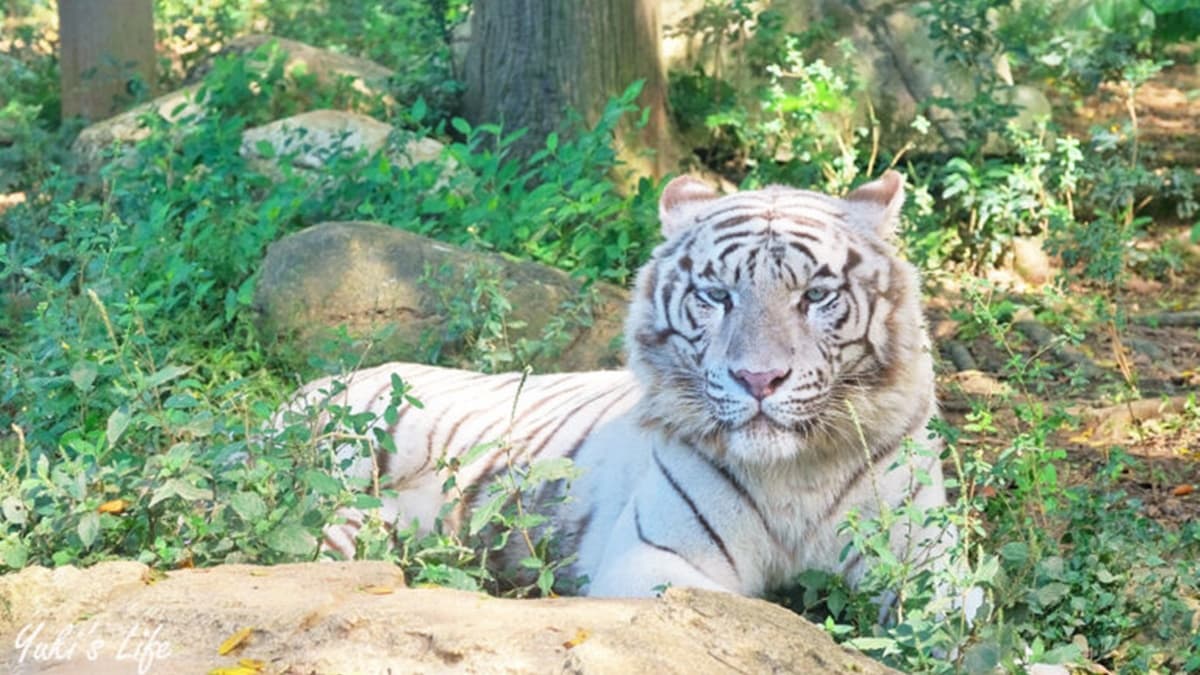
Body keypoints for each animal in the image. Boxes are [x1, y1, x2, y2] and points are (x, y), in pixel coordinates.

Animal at [282, 170, 960, 600]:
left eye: (815, 296)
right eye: (718, 295)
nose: (758, 378)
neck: (796, 473)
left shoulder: (925, 561)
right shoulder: (654, 557)